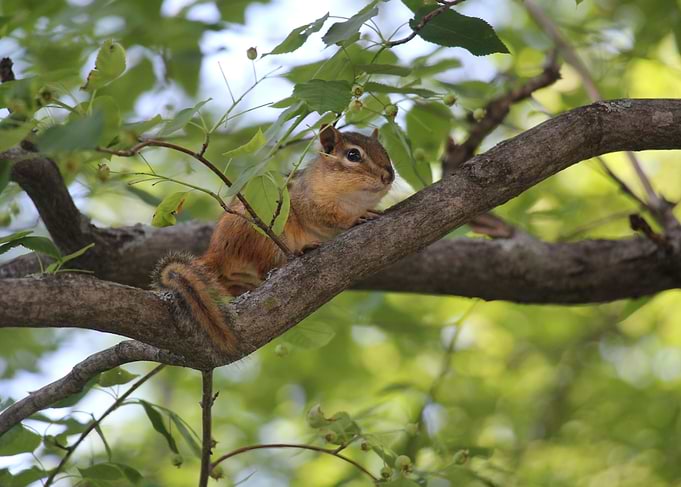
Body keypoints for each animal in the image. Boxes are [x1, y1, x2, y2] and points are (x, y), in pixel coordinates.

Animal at [153, 125, 395, 356]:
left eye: (385, 151)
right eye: (353, 155)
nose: (389, 176)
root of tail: (218, 251)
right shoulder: (309, 203)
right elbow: (329, 218)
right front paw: (356, 218)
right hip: (264, 237)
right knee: (266, 267)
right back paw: (300, 251)